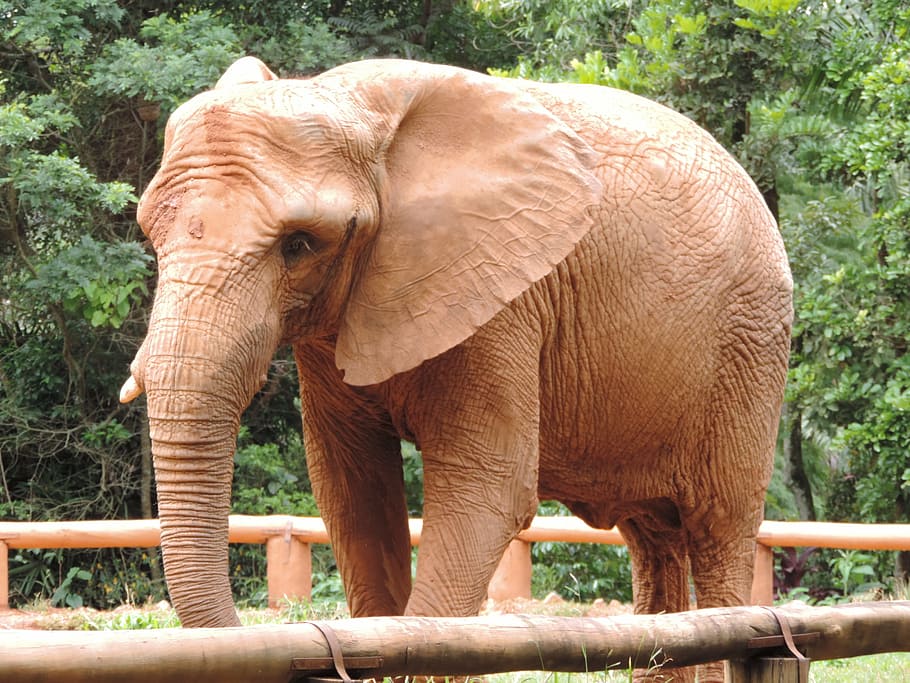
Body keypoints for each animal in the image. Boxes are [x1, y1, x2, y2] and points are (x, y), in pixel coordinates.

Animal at [121, 56, 792, 680]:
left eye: (299, 245)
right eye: (150, 233)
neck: (353, 106)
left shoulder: (503, 296)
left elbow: (487, 488)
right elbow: (352, 491)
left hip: (750, 345)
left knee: (718, 528)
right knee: (653, 537)